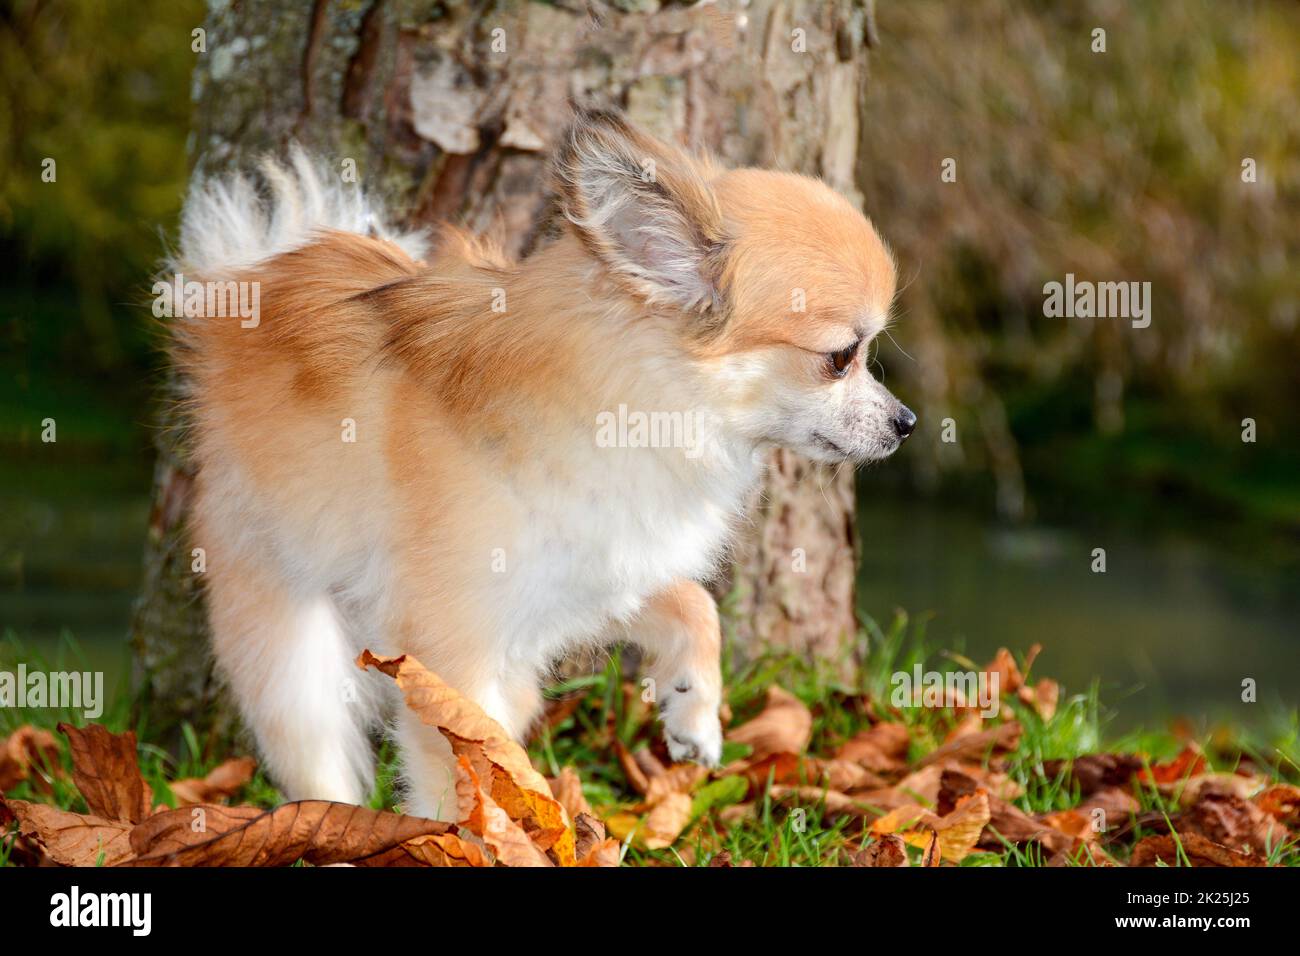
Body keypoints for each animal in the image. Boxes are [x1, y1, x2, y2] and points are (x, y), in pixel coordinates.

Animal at [170, 110, 915, 816]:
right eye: (841, 357)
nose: (906, 422)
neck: (632, 406)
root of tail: (251, 279)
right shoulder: (451, 647)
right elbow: (460, 769)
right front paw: (478, 838)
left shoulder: (592, 582)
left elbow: (694, 602)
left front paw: (693, 710)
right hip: (287, 653)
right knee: (318, 752)